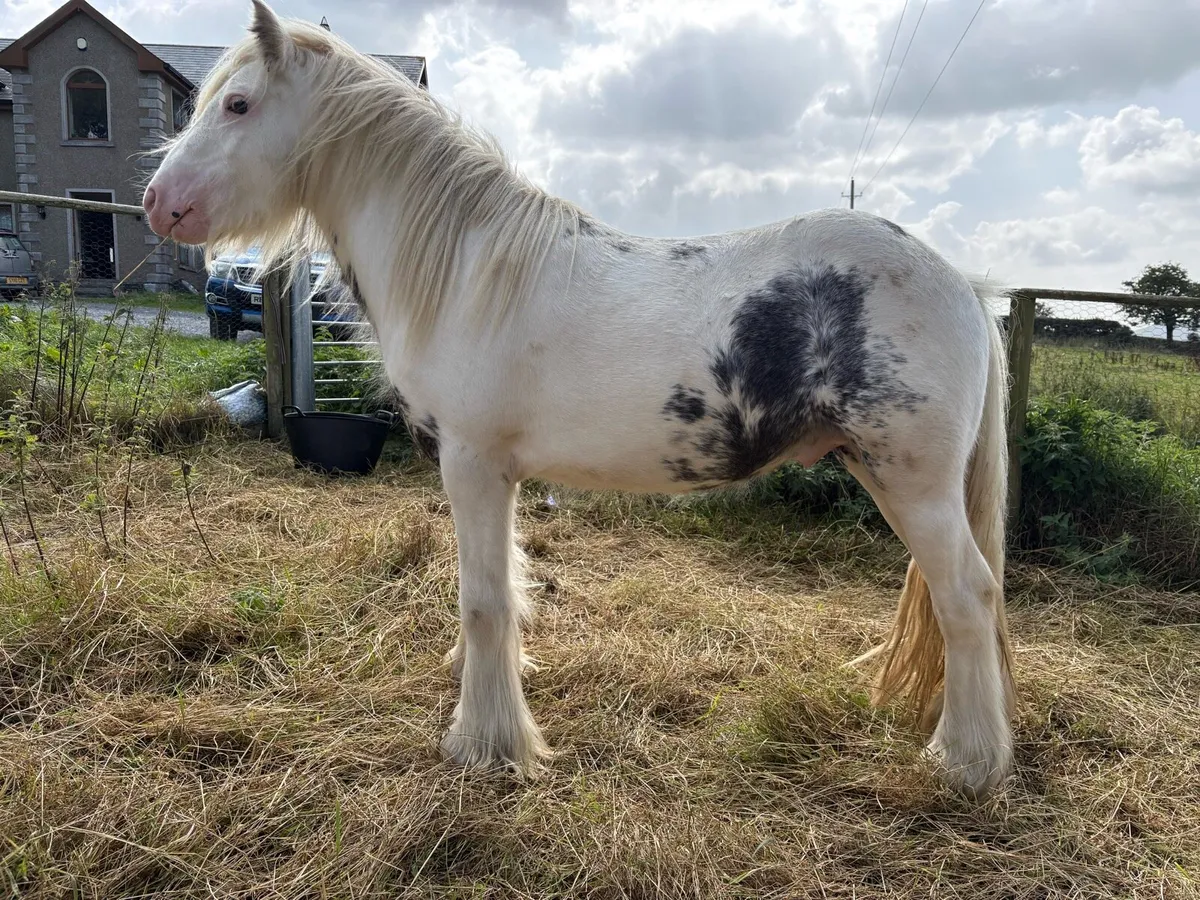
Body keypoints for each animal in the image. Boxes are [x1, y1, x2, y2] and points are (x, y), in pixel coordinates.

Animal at [143, 0, 1017, 799]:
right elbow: (506, 591)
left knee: (968, 597)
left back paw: (967, 763)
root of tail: (963, 286)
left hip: (913, 484)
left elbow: (485, 602)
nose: (158, 203)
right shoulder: (498, 475)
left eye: (237, 104)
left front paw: (484, 743)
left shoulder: (473, 465)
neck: (467, 272)